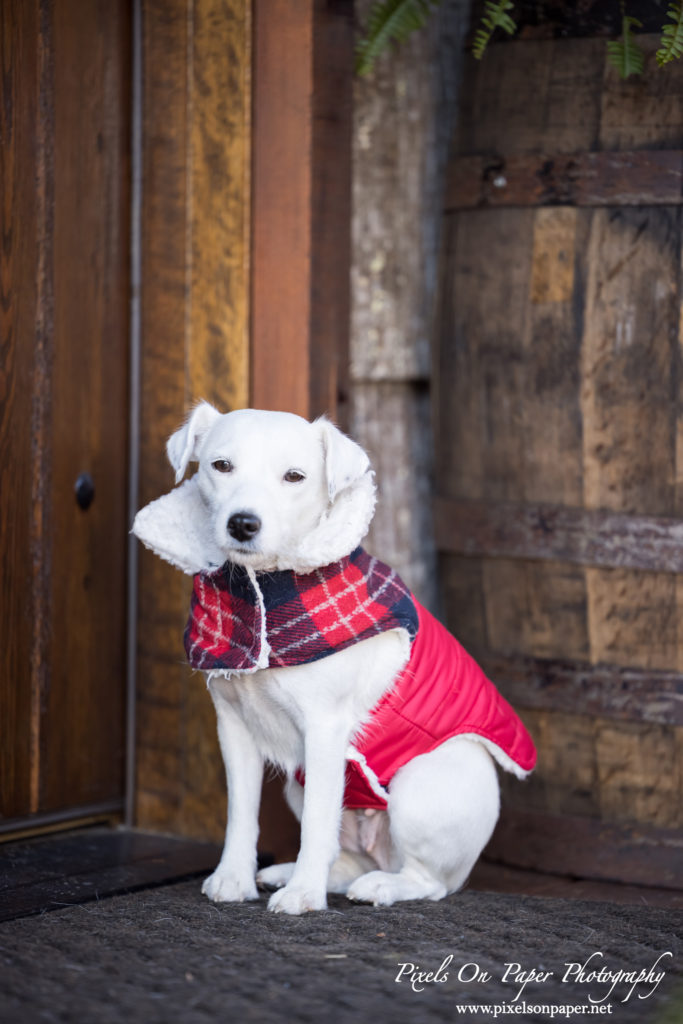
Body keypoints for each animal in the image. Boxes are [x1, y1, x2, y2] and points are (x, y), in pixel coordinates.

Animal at [133, 403, 536, 917]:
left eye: (294, 476)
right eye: (220, 465)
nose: (243, 523)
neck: (263, 591)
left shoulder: (324, 731)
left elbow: (316, 826)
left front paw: (304, 894)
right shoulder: (234, 727)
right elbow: (241, 814)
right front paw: (234, 878)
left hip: (415, 791)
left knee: (428, 882)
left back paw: (381, 886)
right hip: (298, 784)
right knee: (347, 860)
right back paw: (297, 873)